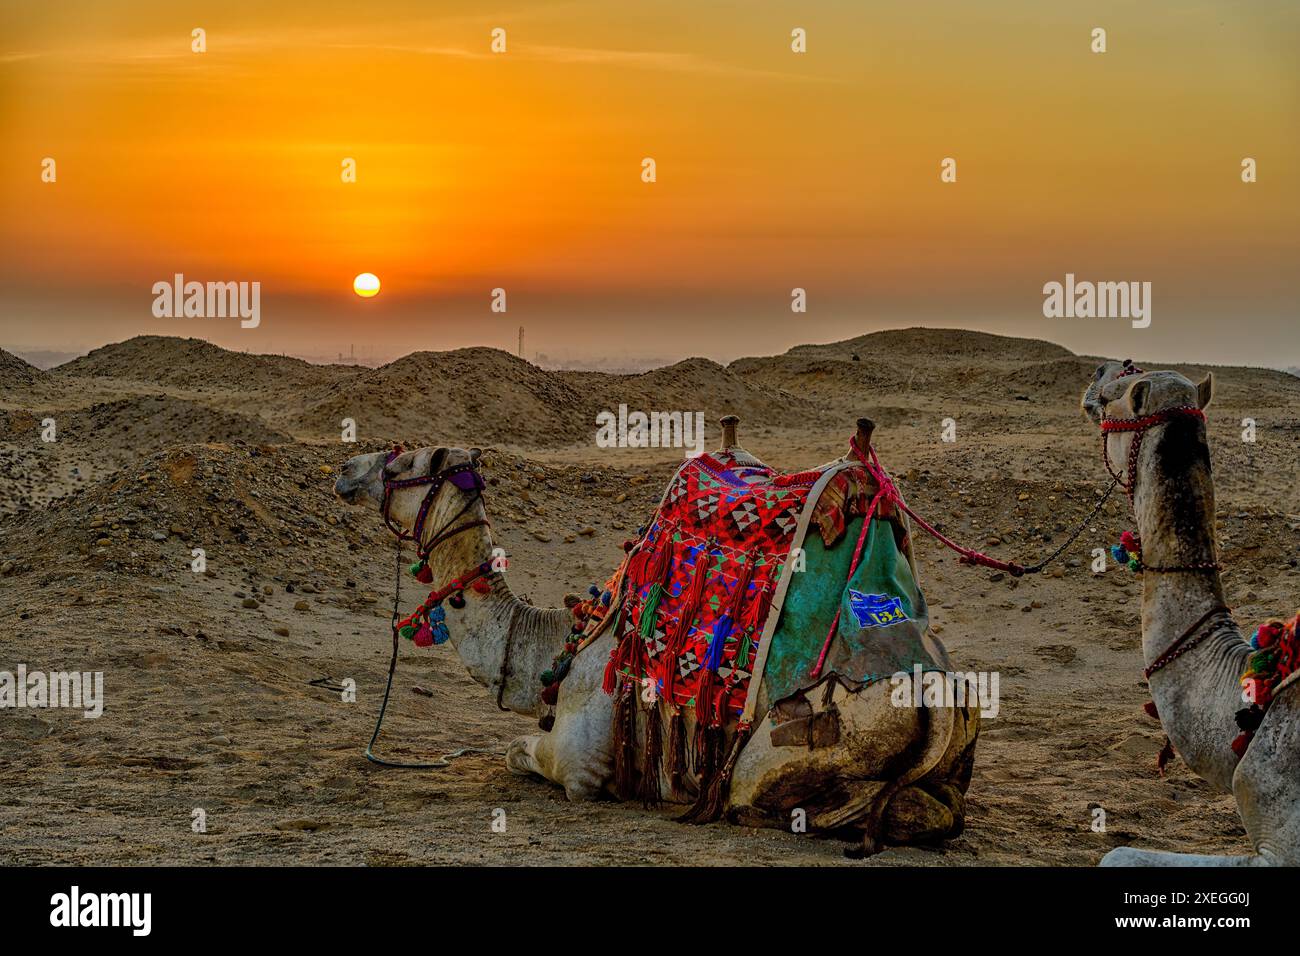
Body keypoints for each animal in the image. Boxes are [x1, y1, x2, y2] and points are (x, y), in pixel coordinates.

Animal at [335, 429, 977, 858]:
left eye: (404, 462)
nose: (346, 468)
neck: (552, 647)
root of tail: (935, 691)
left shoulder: (580, 764)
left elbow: (519, 753)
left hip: (796, 738)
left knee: (760, 790)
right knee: (934, 810)